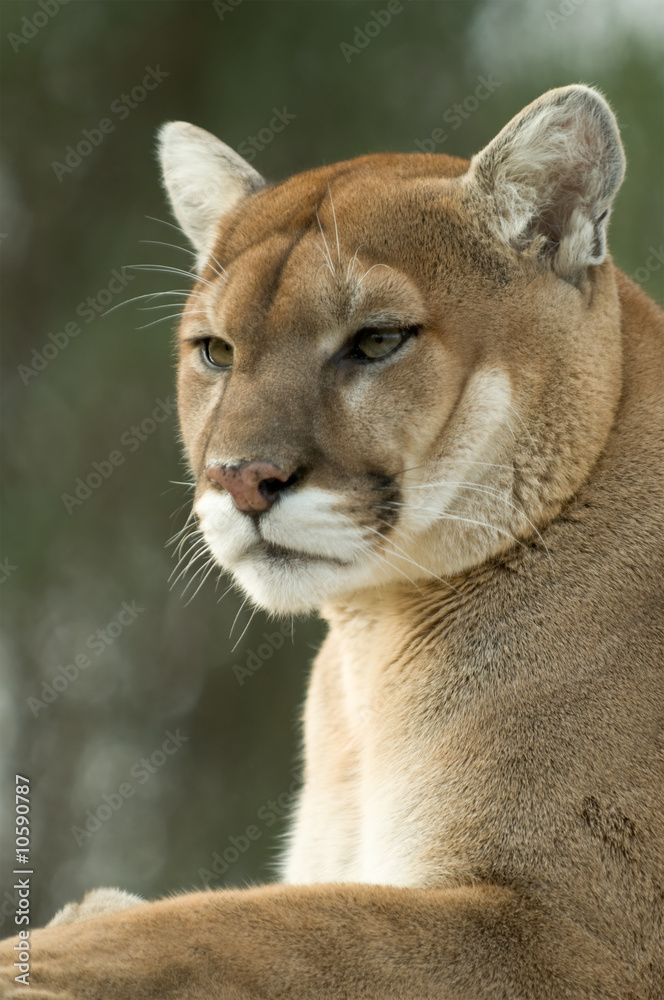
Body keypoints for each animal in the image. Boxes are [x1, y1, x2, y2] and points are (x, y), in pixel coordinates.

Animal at [1, 84, 662, 999]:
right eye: (216, 351)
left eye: (376, 340)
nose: (241, 478)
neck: (370, 645)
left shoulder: (575, 930)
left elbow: (225, 928)